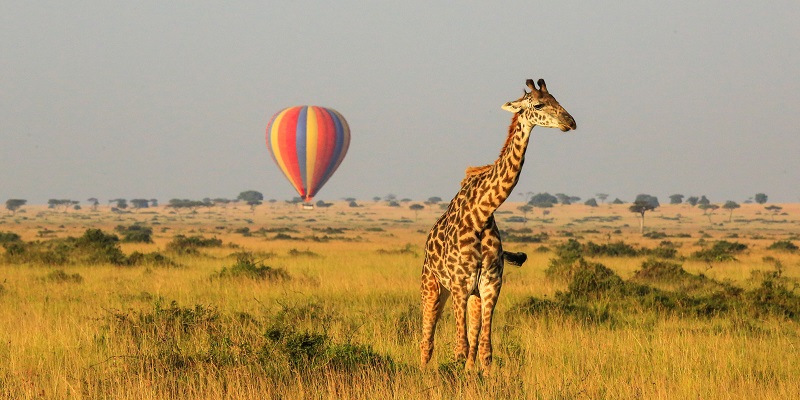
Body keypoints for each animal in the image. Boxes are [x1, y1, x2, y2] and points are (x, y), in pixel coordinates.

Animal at [418, 78, 576, 372]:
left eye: (557, 100)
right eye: (539, 105)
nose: (570, 122)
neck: (480, 214)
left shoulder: (491, 284)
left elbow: (484, 350)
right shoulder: (459, 284)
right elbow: (459, 349)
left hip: (472, 295)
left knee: (469, 343)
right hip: (432, 286)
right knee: (427, 340)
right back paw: (422, 372)